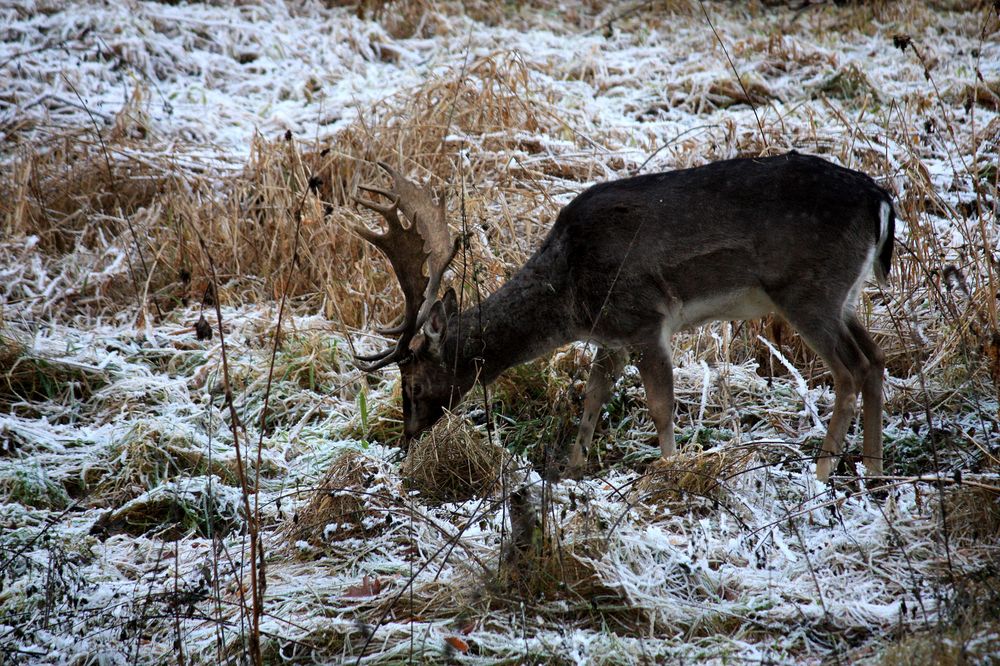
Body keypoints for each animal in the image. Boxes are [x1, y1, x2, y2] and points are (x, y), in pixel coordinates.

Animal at [348, 152, 896, 478]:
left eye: (415, 382)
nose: (408, 441)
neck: (570, 296)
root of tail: (882, 200)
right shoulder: (610, 337)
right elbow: (591, 399)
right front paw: (571, 472)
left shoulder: (643, 320)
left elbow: (660, 405)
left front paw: (669, 471)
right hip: (844, 296)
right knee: (876, 360)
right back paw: (873, 470)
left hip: (808, 290)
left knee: (851, 370)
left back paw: (822, 473)